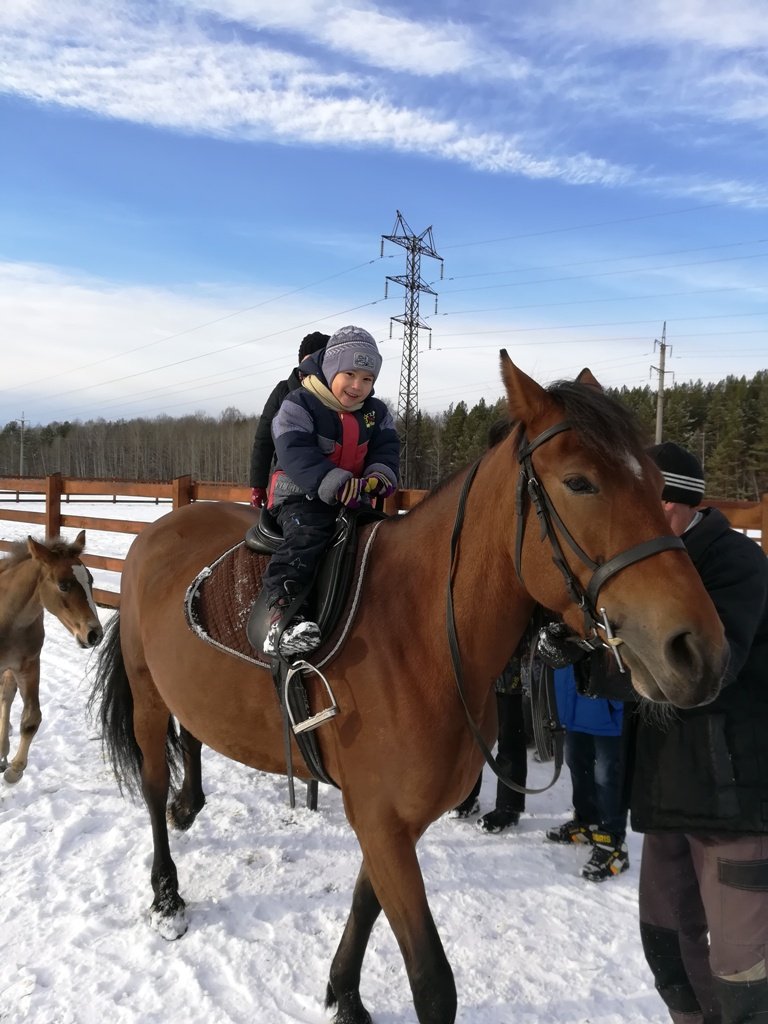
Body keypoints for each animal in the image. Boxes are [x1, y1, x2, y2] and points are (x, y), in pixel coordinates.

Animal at [0, 532, 104, 778]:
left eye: (90, 581)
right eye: (63, 585)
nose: (95, 634)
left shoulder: (28, 665)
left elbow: (31, 718)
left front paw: (14, 770)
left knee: (6, 694)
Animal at [90, 356, 729, 1019]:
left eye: (656, 482)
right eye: (580, 483)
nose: (697, 650)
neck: (419, 635)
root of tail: (158, 529)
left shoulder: (393, 822)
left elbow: (365, 906)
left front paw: (343, 992)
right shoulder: (383, 822)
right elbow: (432, 980)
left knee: (190, 738)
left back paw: (189, 805)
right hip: (146, 694)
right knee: (152, 786)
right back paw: (167, 894)